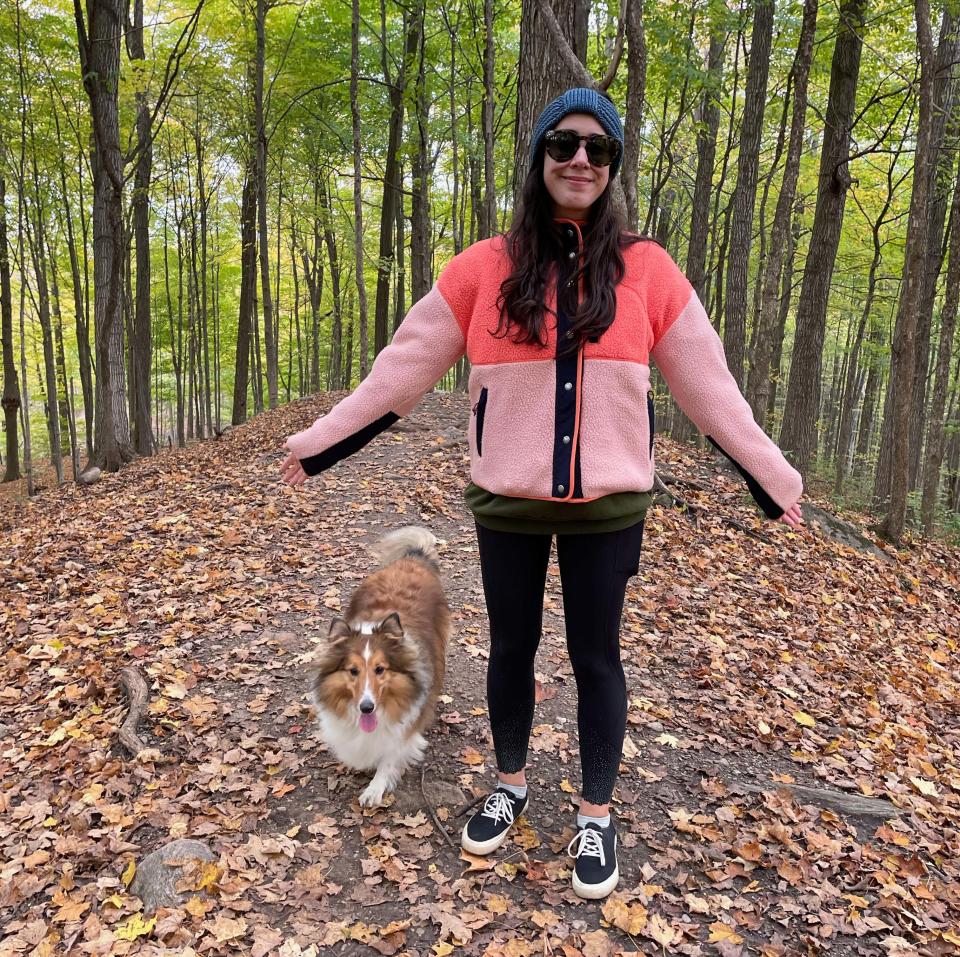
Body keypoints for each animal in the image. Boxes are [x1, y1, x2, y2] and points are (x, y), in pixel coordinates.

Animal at [312, 528, 454, 804]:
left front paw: (375, 789)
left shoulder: (404, 727)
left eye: (380, 669)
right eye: (353, 671)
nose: (367, 708)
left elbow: (390, 756)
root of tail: (413, 557)